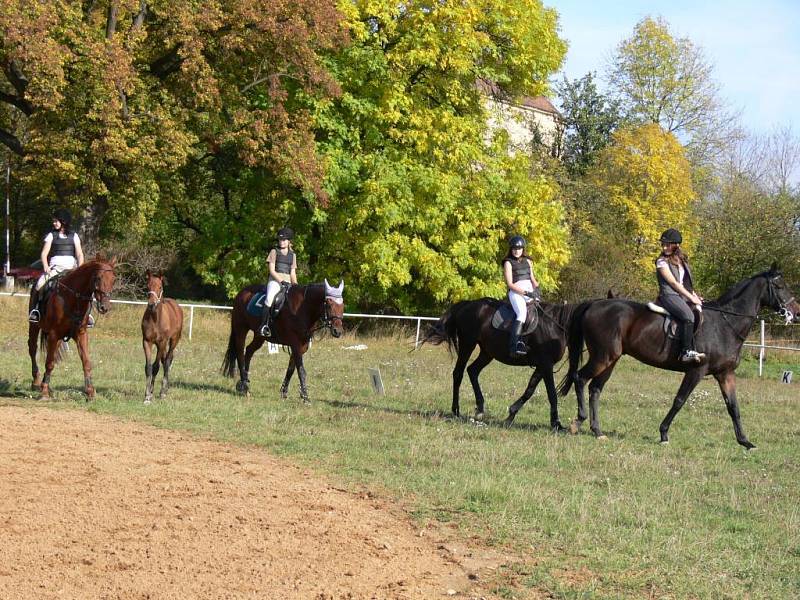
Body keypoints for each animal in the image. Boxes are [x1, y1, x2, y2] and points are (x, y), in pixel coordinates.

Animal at [27, 256, 117, 400]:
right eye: (98, 278)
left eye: (113, 279)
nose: (104, 307)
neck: (74, 299)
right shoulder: (54, 334)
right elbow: (49, 362)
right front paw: (44, 392)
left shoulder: (80, 334)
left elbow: (86, 362)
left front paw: (90, 392)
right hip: (35, 326)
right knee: (32, 348)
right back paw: (36, 382)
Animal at [142, 270, 184, 404]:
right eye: (147, 286)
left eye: (160, 287)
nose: (151, 304)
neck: (155, 319)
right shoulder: (147, 341)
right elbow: (148, 367)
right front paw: (147, 395)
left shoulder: (162, 342)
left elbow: (156, 367)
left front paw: (151, 394)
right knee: (165, 360)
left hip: (173, 340)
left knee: (167, 361)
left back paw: (163, 391)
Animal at [422, 298, 592, 428]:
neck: (556, 324)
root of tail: (467, 304)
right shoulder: (546, 364)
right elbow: (551, 394)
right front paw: (556, 423)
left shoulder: (541, 366)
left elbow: (529, 390)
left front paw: (511, 414)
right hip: (467, 345)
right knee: (458, 373)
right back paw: (456, 410)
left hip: (487, 352)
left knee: (472, 371)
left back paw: (480, 409)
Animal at [556, 264, 800, 448]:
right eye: (779, 286)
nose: (795, 312)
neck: (725, 324)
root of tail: (595, 303)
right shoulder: (696, 371)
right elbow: (679, 401)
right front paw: (663, 434)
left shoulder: (725, 373)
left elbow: (733, 407)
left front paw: (745, 442)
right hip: (603, 357)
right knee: (580, 378)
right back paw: (578, 422)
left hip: (611, 360)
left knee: (595, 388)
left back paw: (597, 431)